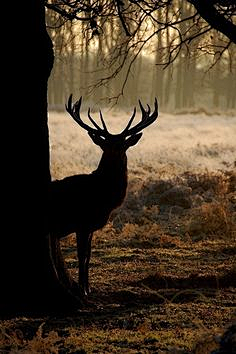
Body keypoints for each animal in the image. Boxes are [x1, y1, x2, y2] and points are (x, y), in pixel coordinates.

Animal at [49, 93, 158, 296]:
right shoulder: (82, 223)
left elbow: (89, 255)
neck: (103, 198)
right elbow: (82, 255)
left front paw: (89, 287)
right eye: (105, 146)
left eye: (123, 145)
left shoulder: (91, 226)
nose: (116, 157)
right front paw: (82, 290)